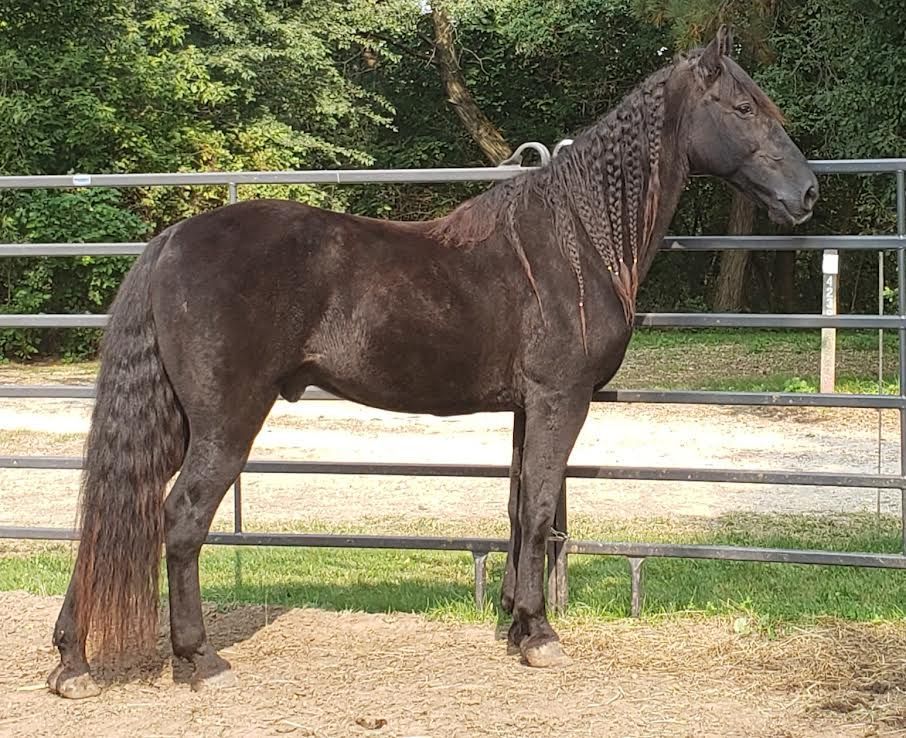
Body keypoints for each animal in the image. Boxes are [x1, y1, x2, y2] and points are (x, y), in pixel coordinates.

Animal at [47, 26, 818, 698]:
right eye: (743, 108)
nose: (807, 193)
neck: (577, 241)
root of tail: (171, 240)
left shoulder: (527, 408)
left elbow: (517, 506)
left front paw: (514, 621)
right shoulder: (560, 398)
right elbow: (542, 506)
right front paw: (539, 635)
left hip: (176, 420)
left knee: (120, 511)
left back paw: (73, 664)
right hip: (223, 423)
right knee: (179, 519)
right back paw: (197, 659)